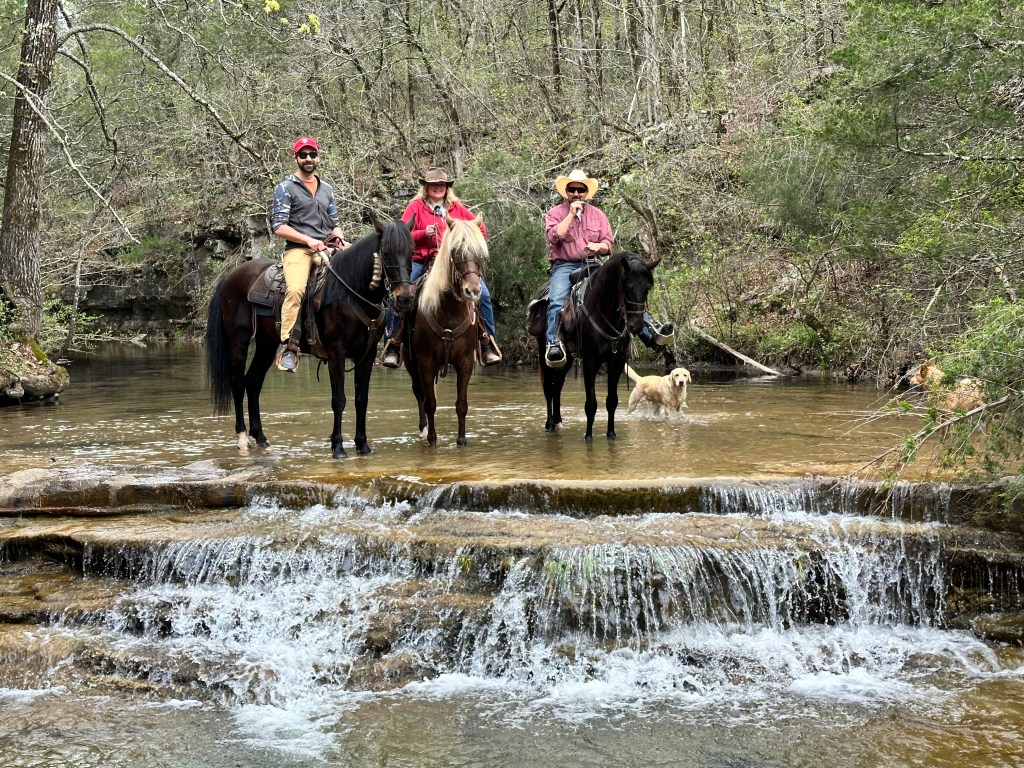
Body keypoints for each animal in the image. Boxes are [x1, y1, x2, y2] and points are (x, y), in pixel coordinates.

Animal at [205, 217, 415, 458]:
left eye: (412, 251)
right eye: (386, 252)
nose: (405, 298)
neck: (351, 293)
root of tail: (229, 277)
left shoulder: (367, 355)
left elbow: (362, 399)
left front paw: (363, 446)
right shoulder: (336, 353)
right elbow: (339, 400)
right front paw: (338, 447)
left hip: (267, 343)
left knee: (254, 382)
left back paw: (261, 438)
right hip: (238, 339)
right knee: (238, 382)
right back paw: (242, 438)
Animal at [403, 216, 488, 446]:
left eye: (479, 252)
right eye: (455, 251)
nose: (472, 291)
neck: (449, 311)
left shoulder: (466, 361)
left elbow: (461, 404)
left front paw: (461, 440)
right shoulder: (425, 361)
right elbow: (430, 403)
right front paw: (432, 439)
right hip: (410, 361)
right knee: (419, 393)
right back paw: (423, 430)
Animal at [529, 251, 660, 441]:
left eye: (648, 287)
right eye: (626, 285)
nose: (635, 325)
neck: (602, 311)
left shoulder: (617, 361)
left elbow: (612, 401)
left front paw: (611, 434)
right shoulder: (590, 361)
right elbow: (591, 404)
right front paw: (588, 437)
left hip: (567, 359)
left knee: (557, 386)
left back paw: (559, 420)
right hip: (544, 352)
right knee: (548, 388)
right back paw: (550, 424)